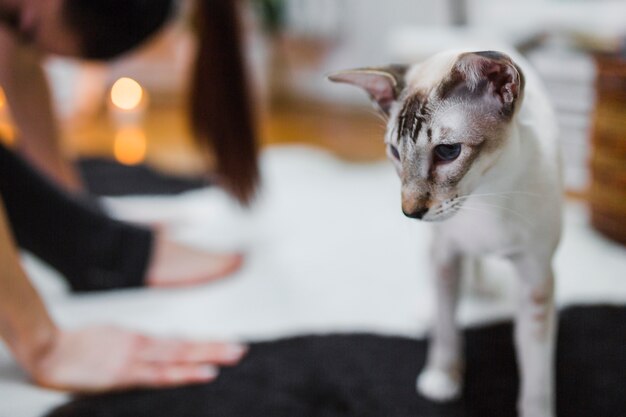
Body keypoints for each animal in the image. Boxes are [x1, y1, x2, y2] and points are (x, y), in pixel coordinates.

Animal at [326, 49, 560, 416]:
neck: (485, 195)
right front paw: (442, 376)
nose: (410, 211)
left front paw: (536, 410)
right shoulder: (447, 254)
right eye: (395, 153)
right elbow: (447, 326)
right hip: (438, 248)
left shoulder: (536, 278)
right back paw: (429, 308)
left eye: (448, 152)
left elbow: (536, 367)